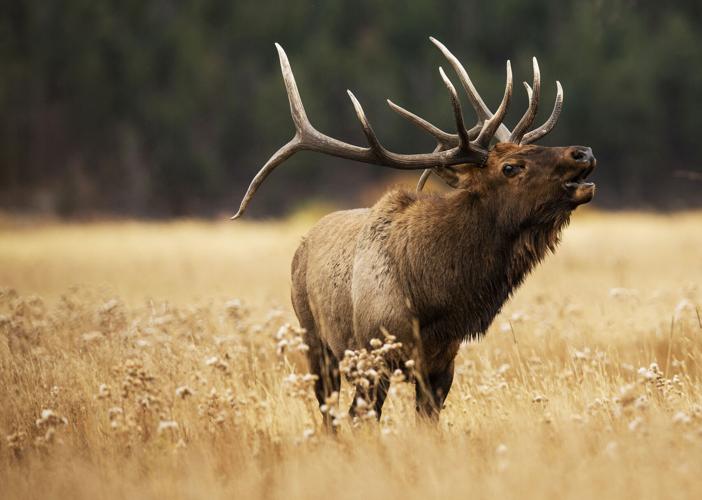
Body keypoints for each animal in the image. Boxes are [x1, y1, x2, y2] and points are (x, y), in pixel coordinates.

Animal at [232, 37, 596, 425]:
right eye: (510, 167)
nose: (583, 152)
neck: (434, 299)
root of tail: (303, 244)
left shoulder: (442, 365)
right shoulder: (374, 356)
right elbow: (361, 417)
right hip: (315, 339)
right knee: (329, 411)